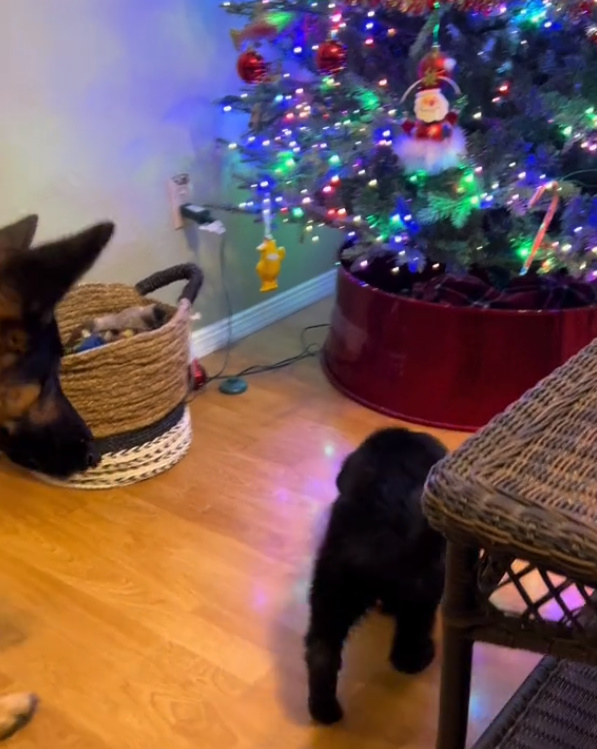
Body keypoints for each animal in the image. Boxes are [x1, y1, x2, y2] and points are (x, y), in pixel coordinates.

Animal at [304, 426, 444, 724]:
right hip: (423, 590)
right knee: (405, 647)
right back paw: (421, 656)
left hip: (331, 592)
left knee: (320, 650)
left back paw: (324, 710)